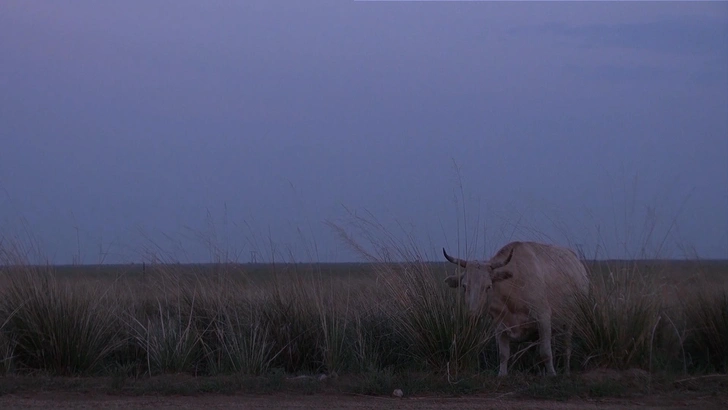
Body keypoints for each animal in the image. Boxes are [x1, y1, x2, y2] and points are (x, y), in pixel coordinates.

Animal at [440, 240, 588, 378]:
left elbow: (546, 351)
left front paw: (552, 374)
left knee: (566, 347)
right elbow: (503, 354)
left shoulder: (544, 318)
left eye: (488, 286)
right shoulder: (500, 325)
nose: (473, 315)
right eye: (464, 286)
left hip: (570, 321)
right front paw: (502, 374)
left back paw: (566, 371)